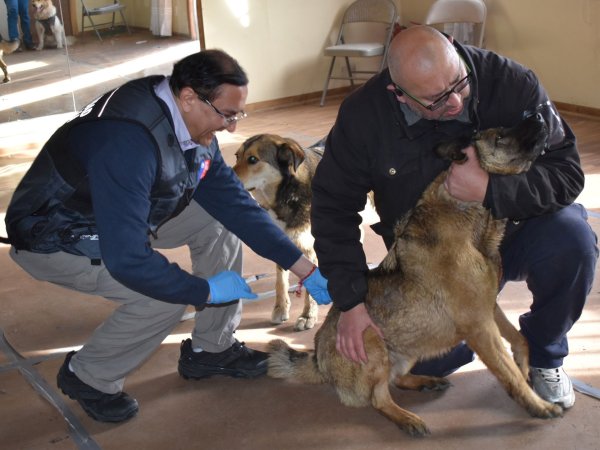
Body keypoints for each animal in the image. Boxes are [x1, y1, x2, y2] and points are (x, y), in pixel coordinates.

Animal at [233, 134, 324, 331]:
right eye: (237, 156)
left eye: (253, 159)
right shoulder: (282, 243)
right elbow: (280, 281)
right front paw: (281, 309)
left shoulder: (311, 249)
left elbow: (311, 284)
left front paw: (308, 315)